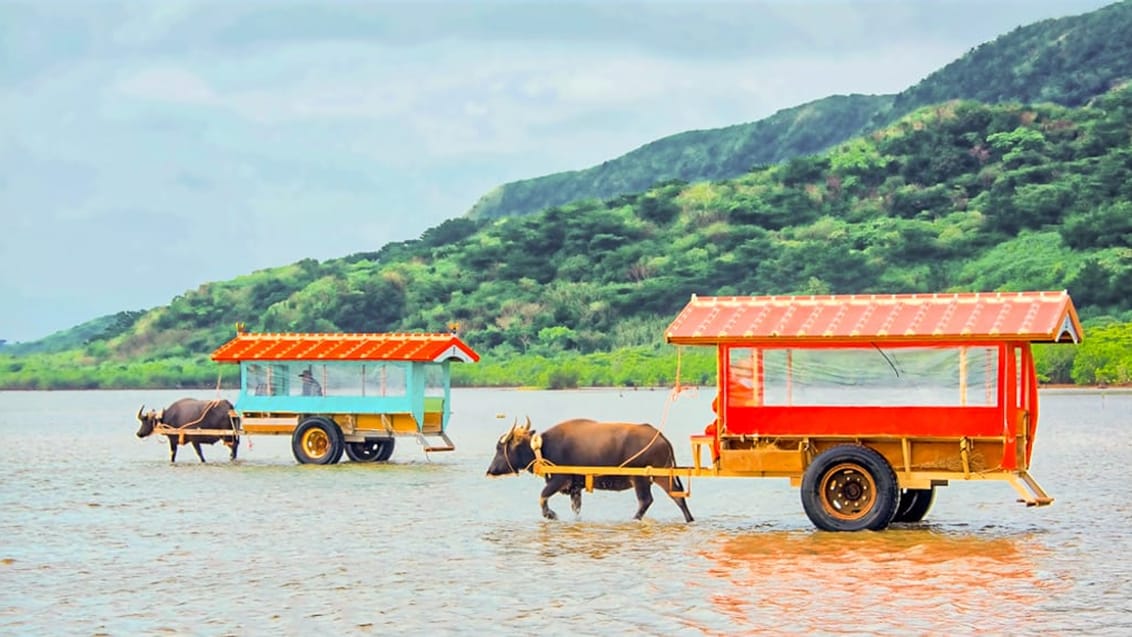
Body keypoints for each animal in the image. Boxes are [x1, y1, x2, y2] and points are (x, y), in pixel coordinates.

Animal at [484, 418, 692, 522]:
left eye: (499, 448)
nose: (490, 470)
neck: (543, 449)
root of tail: (661, 436)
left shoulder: (559, 479)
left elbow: (542, 496)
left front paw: (551, 515)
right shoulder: (575, 487)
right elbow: (576, 508)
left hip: (642, 478)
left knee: (646, 501)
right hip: (662, 475)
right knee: (678, 496)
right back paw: (689, 519)